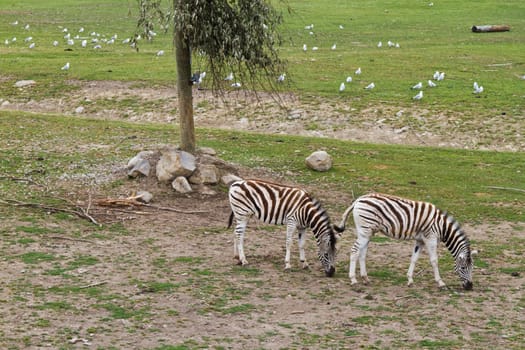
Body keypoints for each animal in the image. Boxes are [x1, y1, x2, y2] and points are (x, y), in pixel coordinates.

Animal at [338, 193, 472, 288]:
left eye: (472, 268)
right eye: (463, 268)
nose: (470, 286)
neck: (442, 226)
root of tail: (358, 200)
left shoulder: (420, 240)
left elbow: (414, 259)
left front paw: (410, 279)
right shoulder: (431, 238)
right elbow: (434, 260)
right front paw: (440, 282)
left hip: (367, 232)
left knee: (362, 253)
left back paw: (365, 278)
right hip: (364, 231)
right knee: (354, 251)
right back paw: (353, 279)